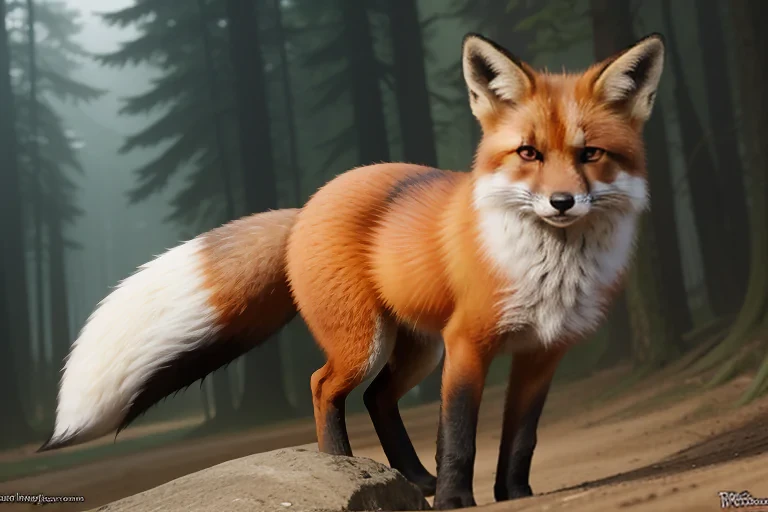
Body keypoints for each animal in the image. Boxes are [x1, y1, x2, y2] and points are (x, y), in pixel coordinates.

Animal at [40, 33, 665, 509]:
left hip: (415, 349)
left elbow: (521, 437)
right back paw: (342, 467)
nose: (562, 202)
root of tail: (309, 205)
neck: (552, 271)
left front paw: (515, 494)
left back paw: (412, 480)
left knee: (378, 398)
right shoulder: (469, 343)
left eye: (590, 154)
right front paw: (456, 499)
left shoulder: (543, 353)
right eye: (528, 153)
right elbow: (459, 435)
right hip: (366, 342)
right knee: (324, 387)